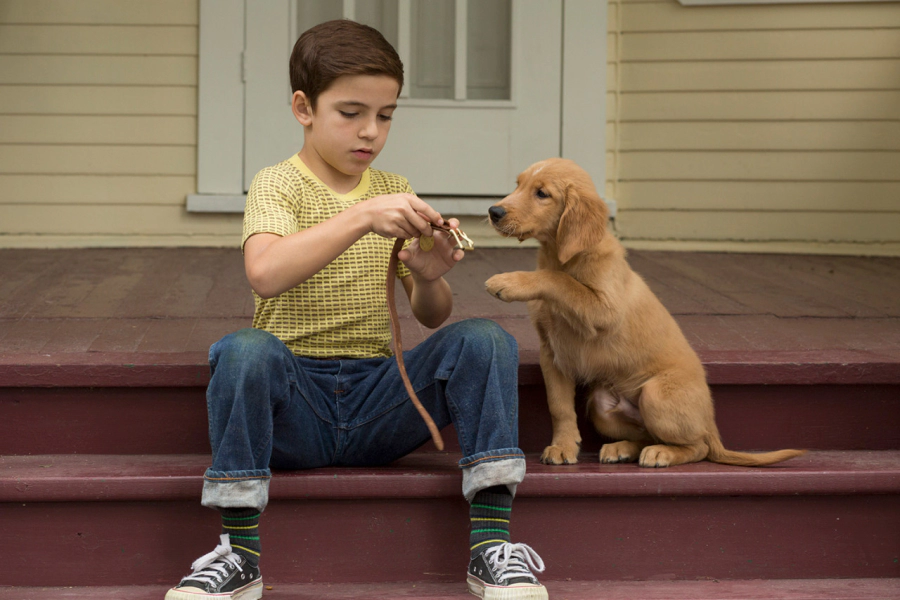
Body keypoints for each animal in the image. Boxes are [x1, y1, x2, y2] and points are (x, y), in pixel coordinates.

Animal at [488, 159, 804, 468]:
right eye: (518, 185)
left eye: (542, 193)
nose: (493, 211)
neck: (560, 257)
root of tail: (711, 425)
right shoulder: (552, 354)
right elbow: (559, 407)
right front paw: (563, 446)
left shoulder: (604, 310)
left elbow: (560, 281)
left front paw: (509, 282)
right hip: (603, 407)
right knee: (647, 435)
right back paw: (622, 449)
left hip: (655, 396)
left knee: (697, 446)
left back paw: (661, 453)